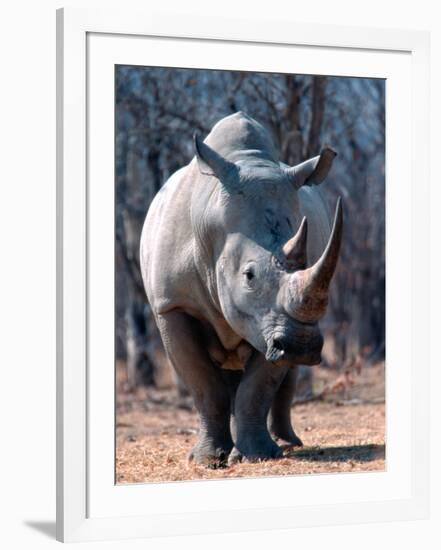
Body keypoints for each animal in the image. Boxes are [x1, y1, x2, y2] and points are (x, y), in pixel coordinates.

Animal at [140, 113, 340, 470]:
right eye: (249, 276)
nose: (301, 345)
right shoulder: (172, 305)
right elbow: (203, 384)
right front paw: (207, 460)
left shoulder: (271, 320)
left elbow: (258, 387)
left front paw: (257, 456)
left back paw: (284, 443)